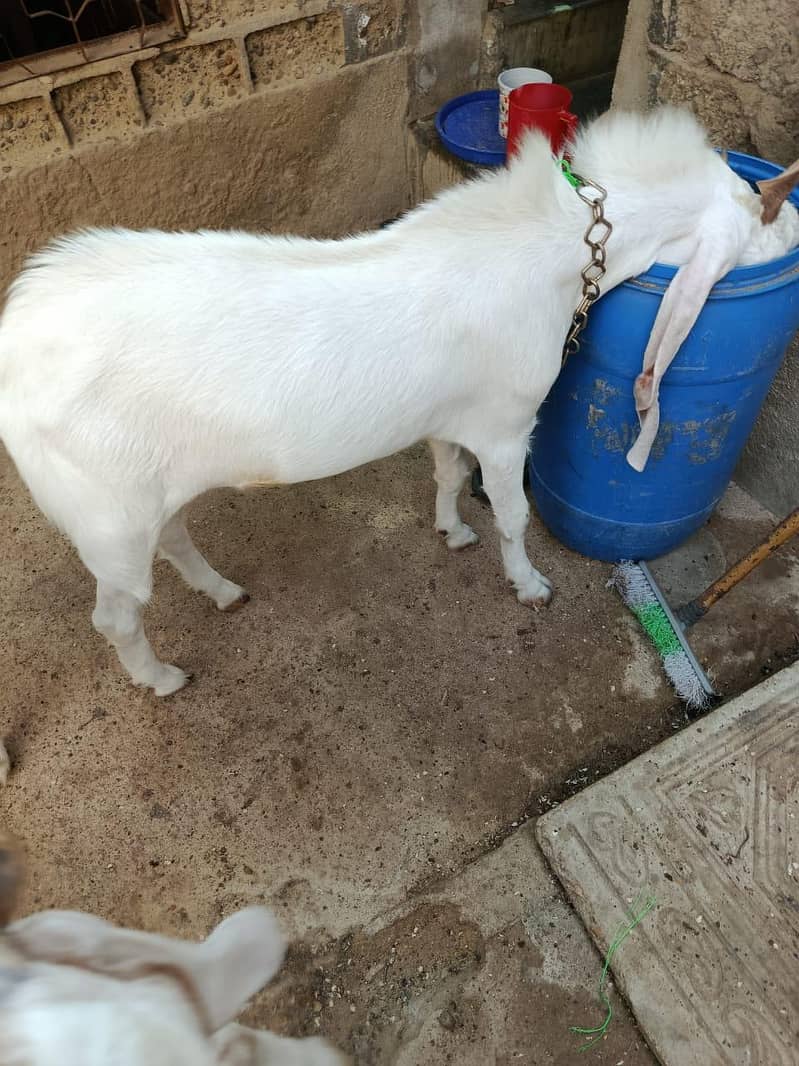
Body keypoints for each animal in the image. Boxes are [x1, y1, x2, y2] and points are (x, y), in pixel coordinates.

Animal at [0, 107, 797, 696]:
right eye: (772, 218)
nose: (792, 233)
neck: (560, 247)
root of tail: (18, 336)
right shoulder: (506, 424)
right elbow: (512, 513)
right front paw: (528, 584)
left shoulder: (450, 417)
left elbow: (446, 473)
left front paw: (451, 531)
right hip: (107, 515)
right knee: (115, 614)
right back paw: (161, 677)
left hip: (149, 489)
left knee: (172, 538)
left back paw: (222, 592)